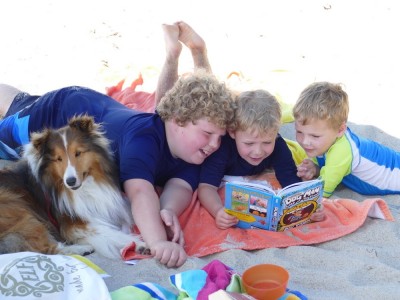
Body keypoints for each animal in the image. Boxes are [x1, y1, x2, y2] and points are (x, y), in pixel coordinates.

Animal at [0, 116, 148, 258]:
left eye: (78, 153)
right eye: (58, 158)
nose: (70, 181)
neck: (85, 188)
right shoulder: (73, 224)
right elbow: (109, 232)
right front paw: (138, 243)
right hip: (18, 208)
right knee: (45, 249)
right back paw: (81, 249)